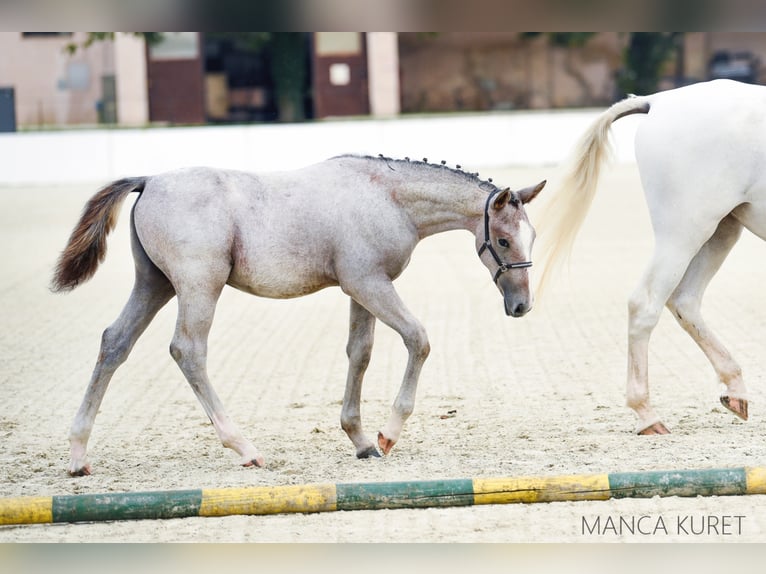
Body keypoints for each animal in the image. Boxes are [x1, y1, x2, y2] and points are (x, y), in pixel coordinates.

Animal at [52, 154, 544, 476]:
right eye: (503, 240)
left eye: (532, 237)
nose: (521, 306)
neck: (385, 196)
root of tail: (150, 180)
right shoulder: (369, 284)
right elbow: (418, 339)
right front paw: (387, 435)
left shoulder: (361, 288)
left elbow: (360, 353)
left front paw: (361, 441)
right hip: (198, 287)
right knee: (187, 350)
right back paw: (244, 447)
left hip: (154, 284)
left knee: (114, 343)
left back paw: (77, 455)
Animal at [536, 79, 764, 434]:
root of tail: (656, 102)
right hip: (684, 233)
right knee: (646, 304)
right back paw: (647, 414)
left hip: (720, 231)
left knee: (685, 302)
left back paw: (735, 390)